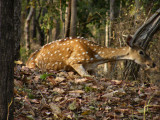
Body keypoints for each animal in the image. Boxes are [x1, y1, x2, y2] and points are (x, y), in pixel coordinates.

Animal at [26, 36, 155, 76]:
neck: (95, 58)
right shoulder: (74, 61)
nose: (153, 64)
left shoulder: (93, 68)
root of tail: (29, 59)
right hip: (33, 65)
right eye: (141, 52)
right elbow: (86, 76)